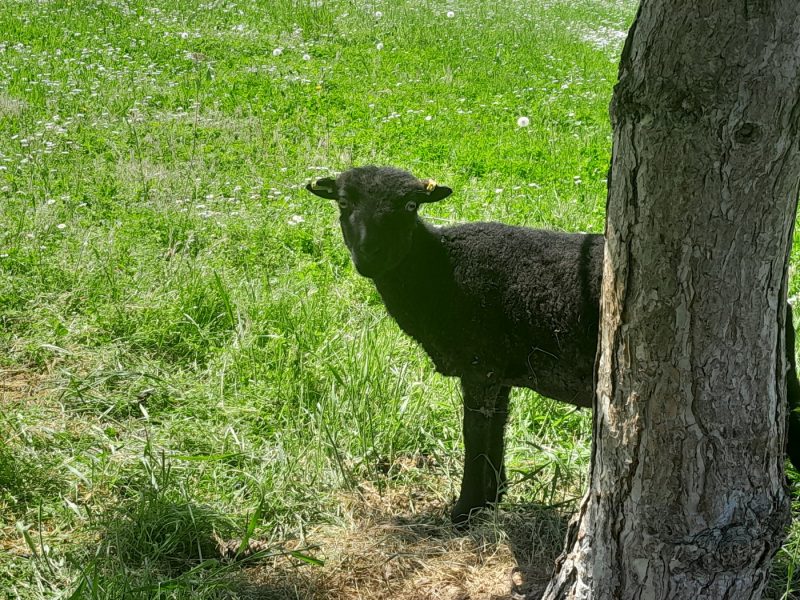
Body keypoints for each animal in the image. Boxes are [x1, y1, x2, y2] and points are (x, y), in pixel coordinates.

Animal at [306, 165, 800, 526]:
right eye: (344, 204)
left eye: (409, 206)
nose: (369, 258)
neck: (438, 269)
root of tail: (781, 301)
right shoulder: (499, 370)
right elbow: (495, 430)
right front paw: (491, 498)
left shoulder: (479, 365)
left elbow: (474, 433)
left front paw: (463, 511)